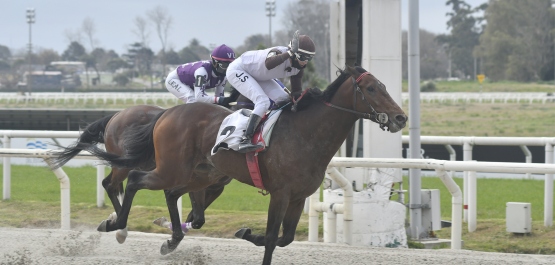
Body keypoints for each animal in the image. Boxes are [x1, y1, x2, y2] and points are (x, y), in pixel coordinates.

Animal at [91, 64, 406, 264]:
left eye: (383, 86)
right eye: (371, 88)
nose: (400, 117)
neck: (306, 133)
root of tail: (167, 113)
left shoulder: (298, 197)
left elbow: (284, 238)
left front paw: (246, 233)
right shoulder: (280, 194)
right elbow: (272, 237)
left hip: (201, 174)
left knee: (169, 193)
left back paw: (168, 239)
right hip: (172, 168)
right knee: (133, 179)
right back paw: (118, 226)